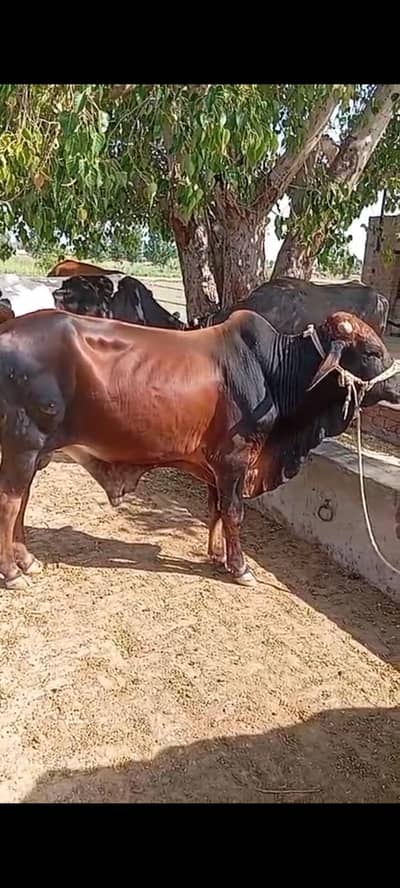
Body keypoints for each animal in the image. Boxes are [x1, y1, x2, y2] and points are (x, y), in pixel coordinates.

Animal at [0, 307, 399, 591]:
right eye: (371, 351)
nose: (396, 388)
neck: (272, 371)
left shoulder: (216, 466)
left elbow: (216, 510)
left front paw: (217, 555)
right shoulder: (236, 459)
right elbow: (234, 512)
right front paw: (240, 567)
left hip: (33, 453)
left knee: (22, 500)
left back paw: (28, 560)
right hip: (23, 446)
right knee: (10, 503)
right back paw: (13, 573)